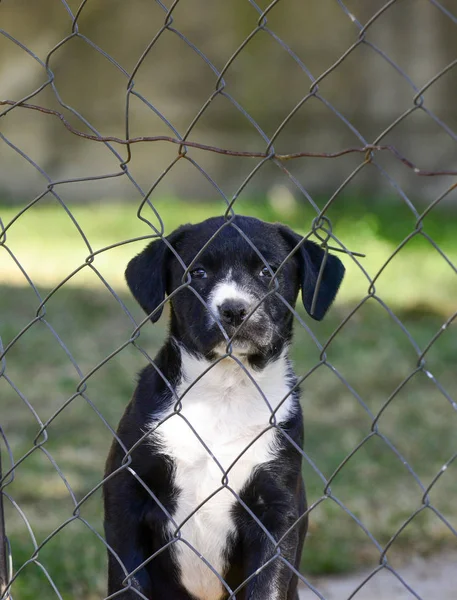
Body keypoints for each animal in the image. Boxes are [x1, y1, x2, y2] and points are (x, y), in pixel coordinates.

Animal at [102, 217, 342, 600]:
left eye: (267, 271)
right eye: (197, 272)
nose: (233, 310)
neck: (225, 391)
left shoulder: (276, 509)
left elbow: (268, 584)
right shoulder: (126, 491)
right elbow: (128, 581)